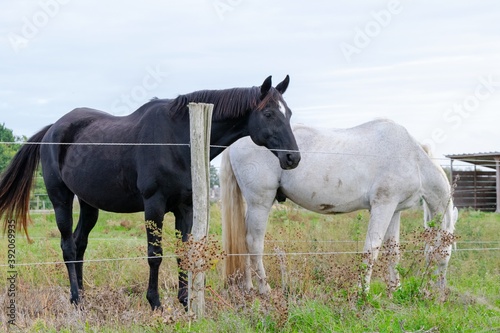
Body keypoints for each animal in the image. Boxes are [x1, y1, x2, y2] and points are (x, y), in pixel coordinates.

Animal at [0, 75, 298, 308]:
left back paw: (83, 294)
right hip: (61, 199)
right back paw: (75, 298)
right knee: (68, 246)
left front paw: (185, 300)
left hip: (88, 204)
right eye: (269, 114)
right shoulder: (154, 205)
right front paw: (155, 302)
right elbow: (155, 255)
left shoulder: (185, 207)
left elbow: (182, 253)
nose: (293, 158)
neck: (179, 138)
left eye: (289, 113)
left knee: (79, 243)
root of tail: (52, 130)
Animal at [221, 118, 458, 294]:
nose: (440, 293)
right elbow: (371, 249)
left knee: (243, 240)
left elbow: (392, 252)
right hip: (260, 203)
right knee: (254, 243)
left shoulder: (394, 210)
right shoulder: (383, 206)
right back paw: (264, 289)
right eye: (447, 251)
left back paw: (249, 287)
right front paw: (363, 292)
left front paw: (395, 289)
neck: (413, 157)